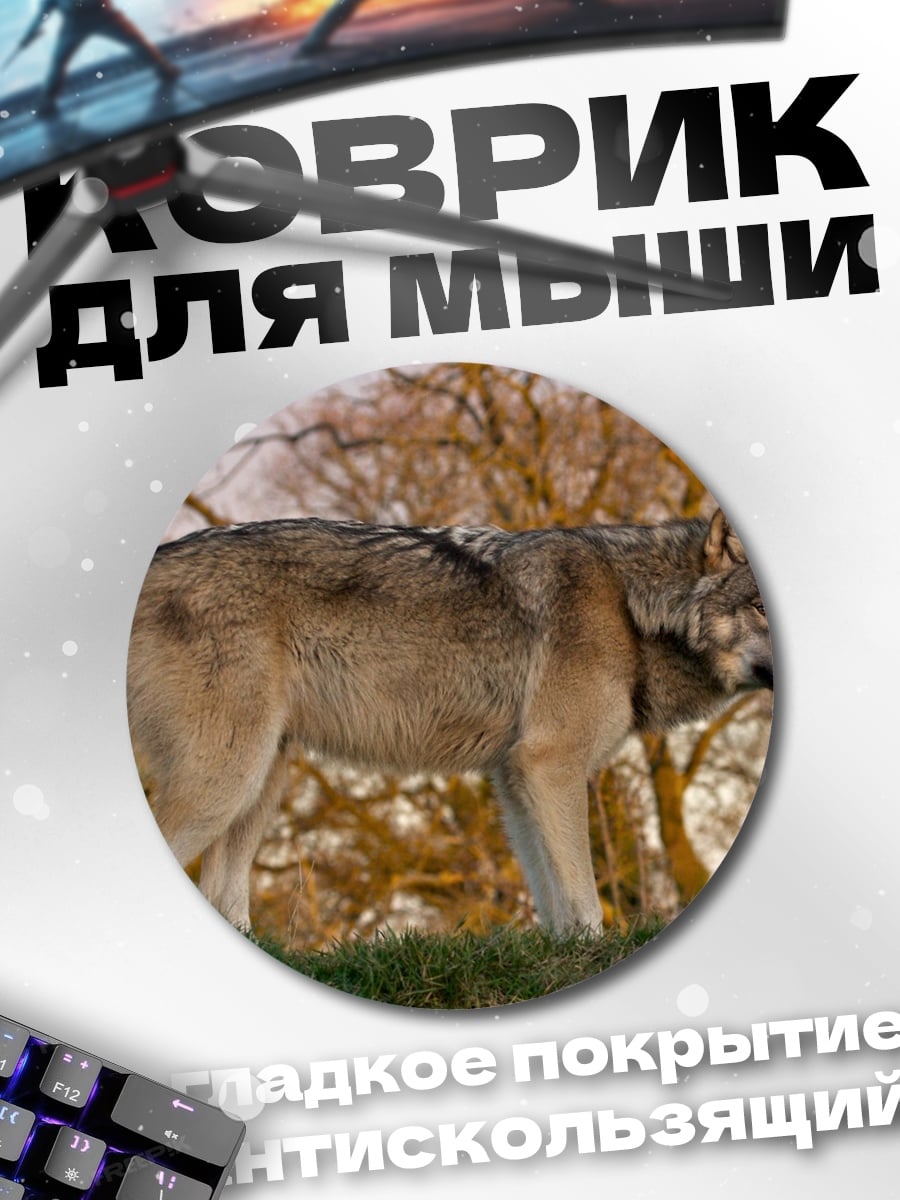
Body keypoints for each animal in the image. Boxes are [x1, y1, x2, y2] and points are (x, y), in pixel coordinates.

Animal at [126, 508, 772, 934]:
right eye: (762, 608)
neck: (632, 607)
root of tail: (156, 560)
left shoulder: (515, 778)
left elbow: (551, 897)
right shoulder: (551, 765)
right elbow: (584, 900)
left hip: (259, 784)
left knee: (223, 896)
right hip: (225, 783)